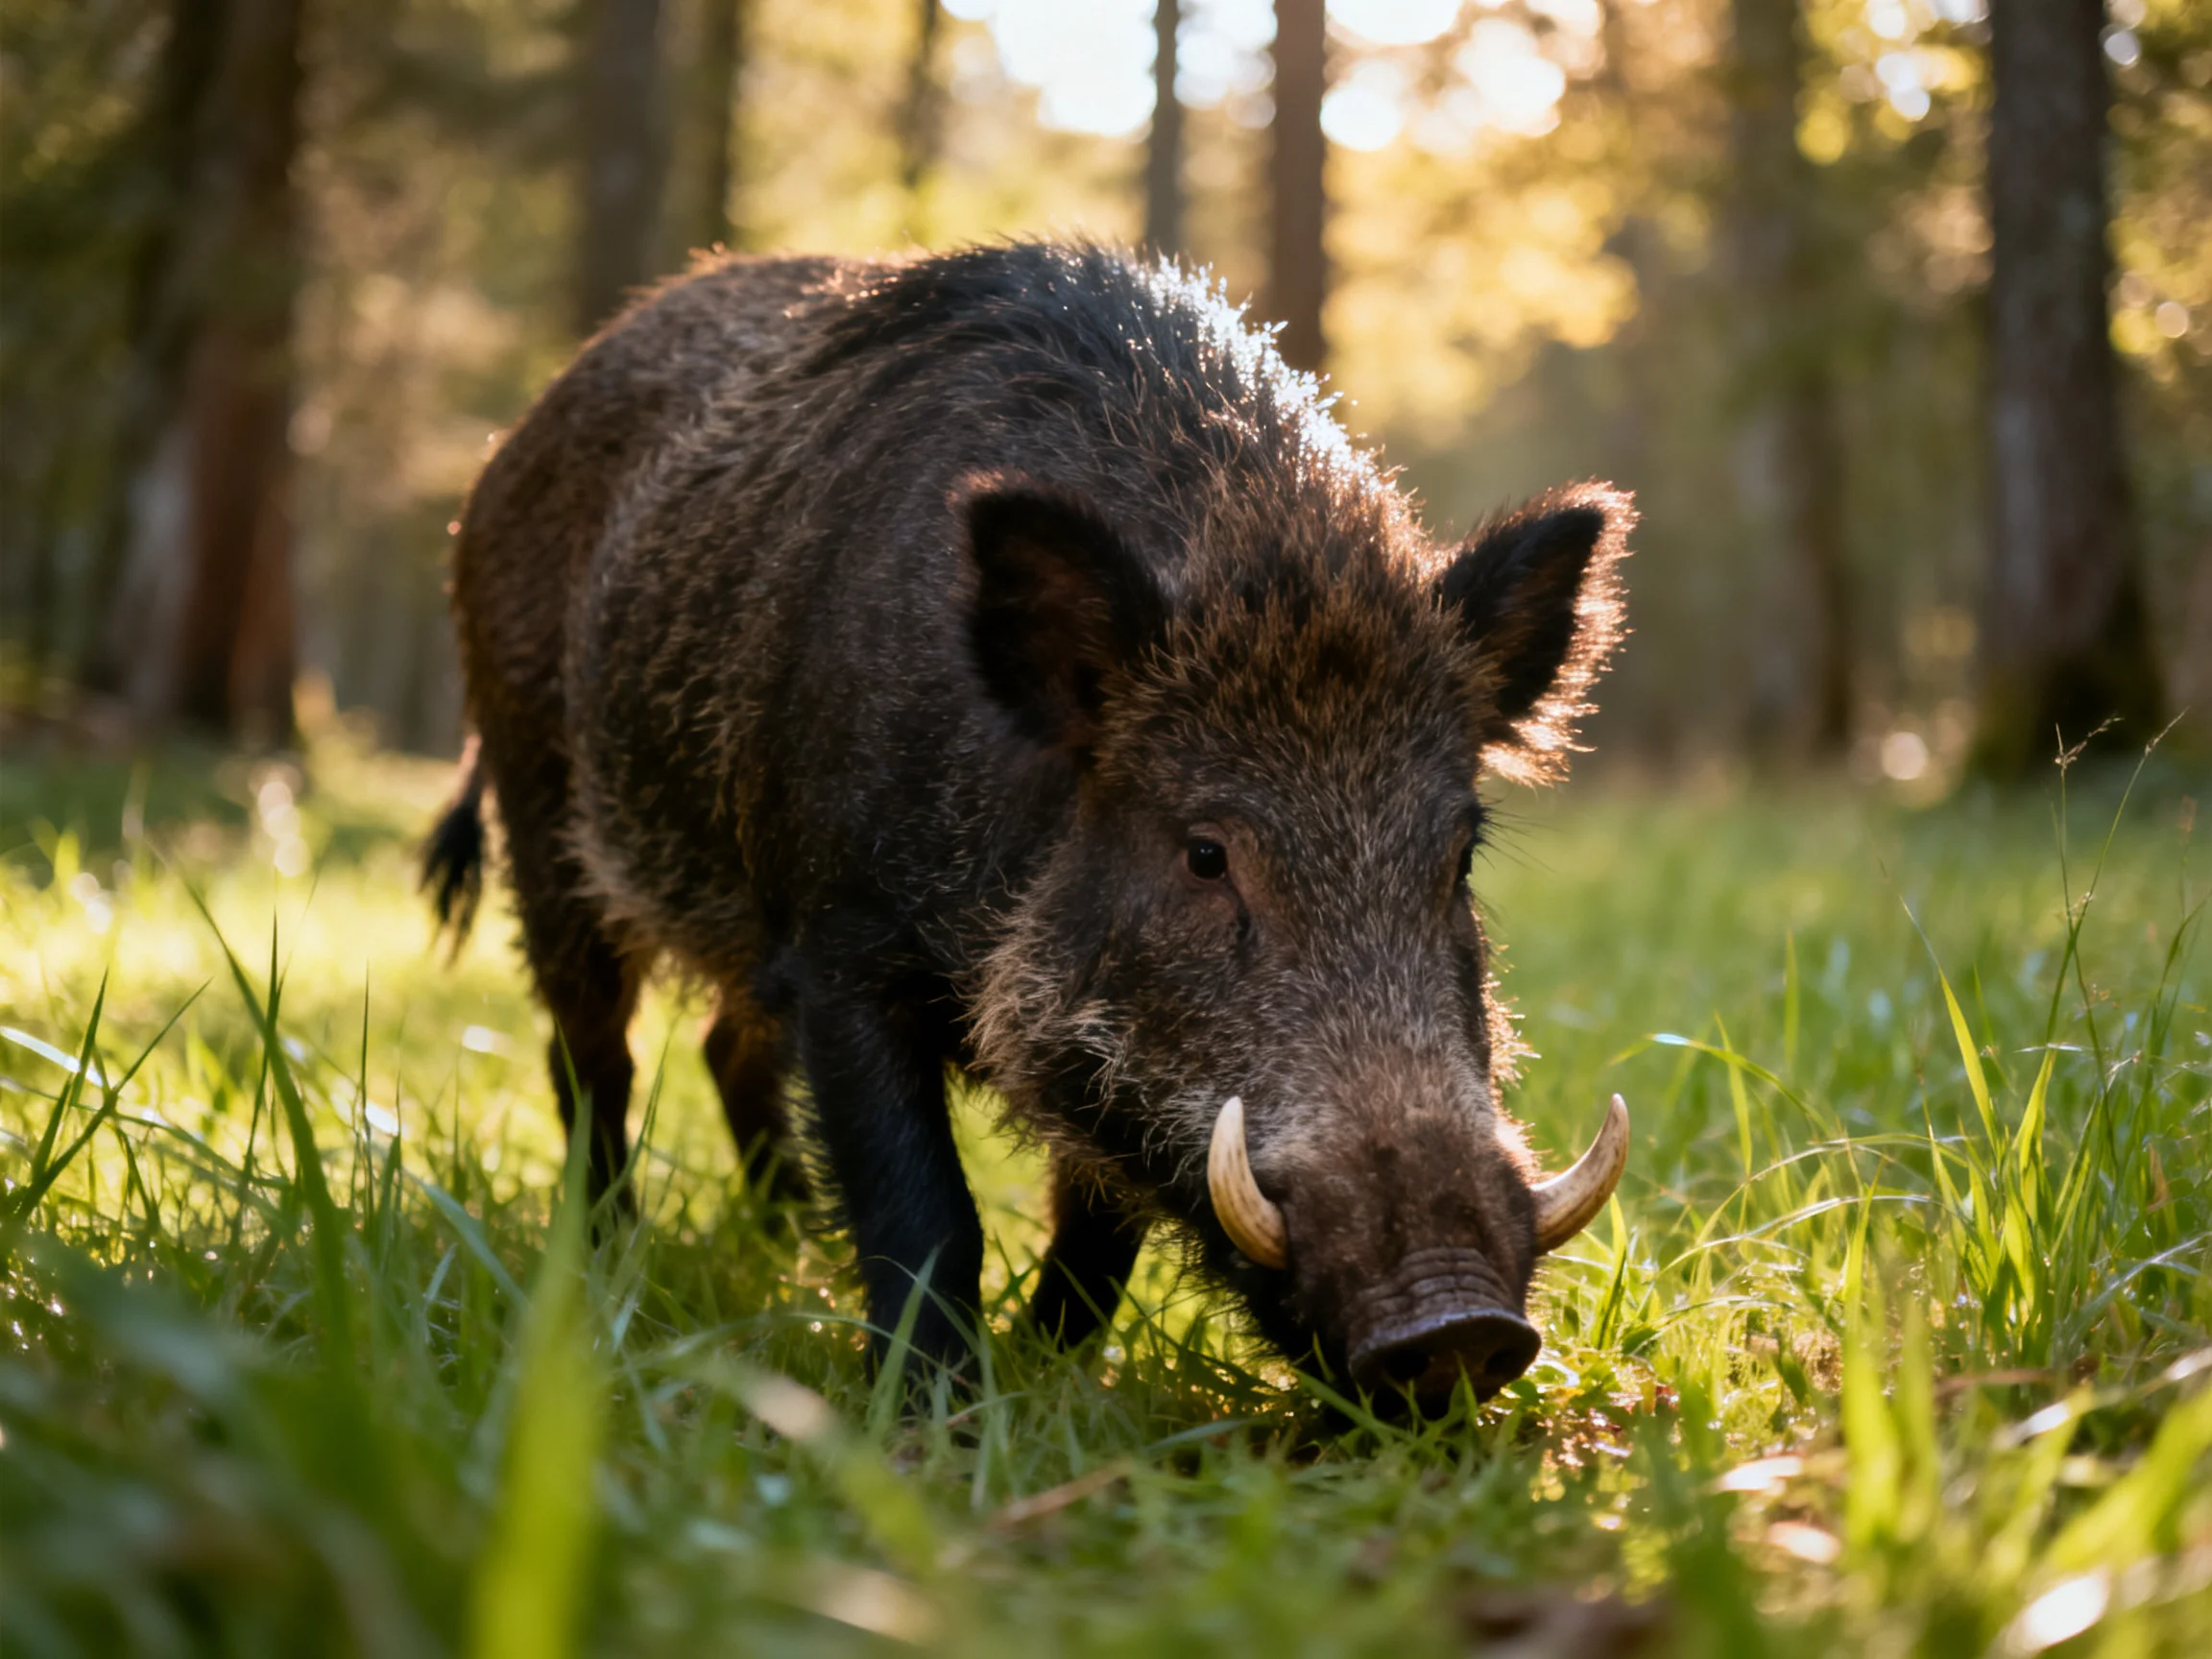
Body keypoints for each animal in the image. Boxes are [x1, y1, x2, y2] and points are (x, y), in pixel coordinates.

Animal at [423, 242, 1634, 1406]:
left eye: (1459, 855)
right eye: (1204, 854)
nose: (1461, 1324)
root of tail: (503, 452)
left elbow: (1096, 1237)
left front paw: (1050, 1376)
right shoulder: (840, 944)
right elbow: (926, 1213)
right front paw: (938, 1415)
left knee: (726, 1045)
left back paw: (789, 1246)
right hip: (539, 802)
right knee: (592, 1051)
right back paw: (609, 1258)